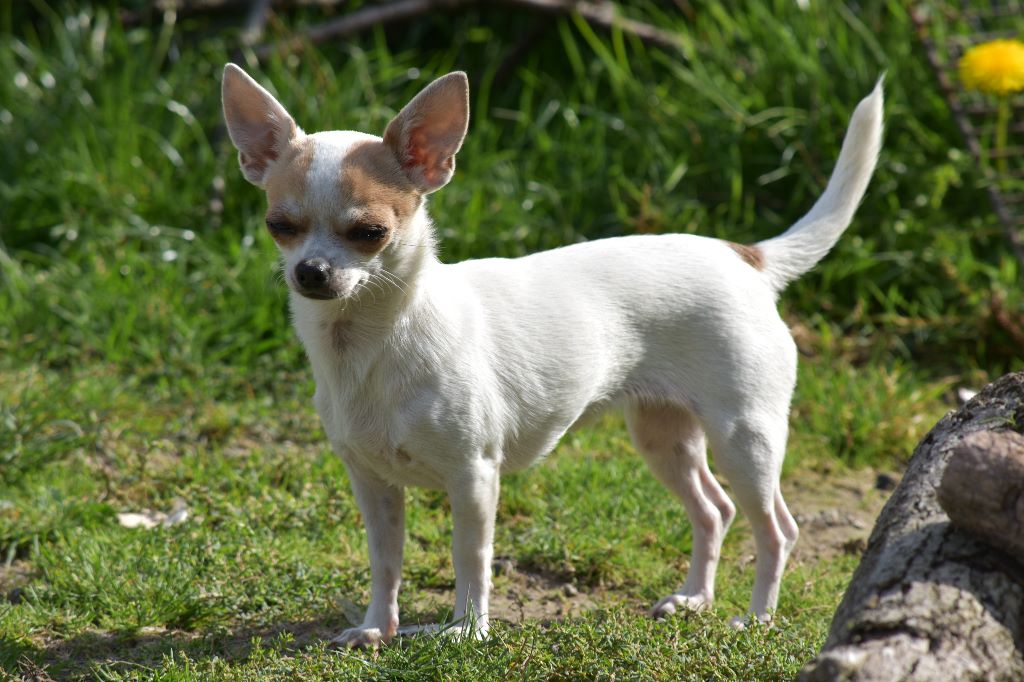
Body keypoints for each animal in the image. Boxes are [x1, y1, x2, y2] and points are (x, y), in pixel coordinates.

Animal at [222, 66, 880, 647]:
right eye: (279, 225)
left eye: (369, 233)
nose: (310, 272)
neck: (371, 345)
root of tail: (747, 257)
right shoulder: (373, 483)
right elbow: (386, 563)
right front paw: (375, 629)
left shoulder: (474, 477)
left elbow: (470, 558)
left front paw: (467, 631)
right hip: (664, 435)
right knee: (714, 511)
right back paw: (695, 598)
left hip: (745, 437)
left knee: (776, 529)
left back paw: (757, 618)